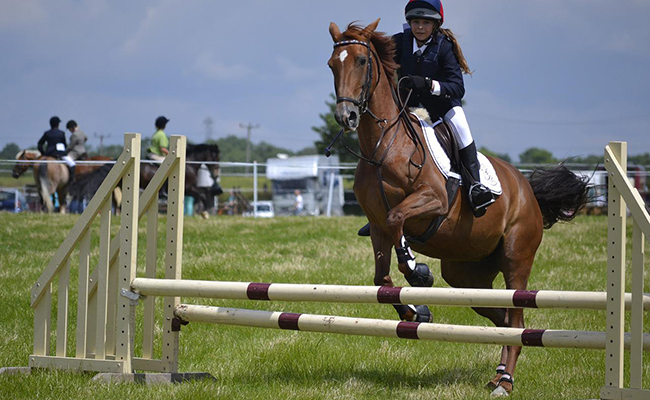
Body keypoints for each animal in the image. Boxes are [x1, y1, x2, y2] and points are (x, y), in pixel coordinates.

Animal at [330, 20, 588, 396]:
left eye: (362, 61)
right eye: (332, 64)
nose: (346, 116)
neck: (384, 146)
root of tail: (526, 188)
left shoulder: (432, 200)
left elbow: (398, 219)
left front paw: (418, 271)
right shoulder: (376, 225)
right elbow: (382, 278)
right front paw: (415, 313)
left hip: (516, 258)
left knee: (517, 315)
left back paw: (505, 381)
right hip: (466, 273)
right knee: (503, 318)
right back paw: (499, 371)